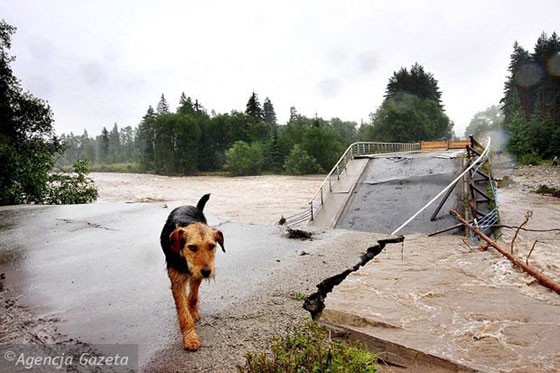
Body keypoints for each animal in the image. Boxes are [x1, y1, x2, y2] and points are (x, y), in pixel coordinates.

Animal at [159, 193, 224, 350]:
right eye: (192, 247)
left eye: (212, 246)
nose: (207, 271)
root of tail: (190, 206)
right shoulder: (176, 281)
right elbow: (183, 312)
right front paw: (190, 338)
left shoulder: (196, 275)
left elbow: (193, 296)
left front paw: (192, 310)